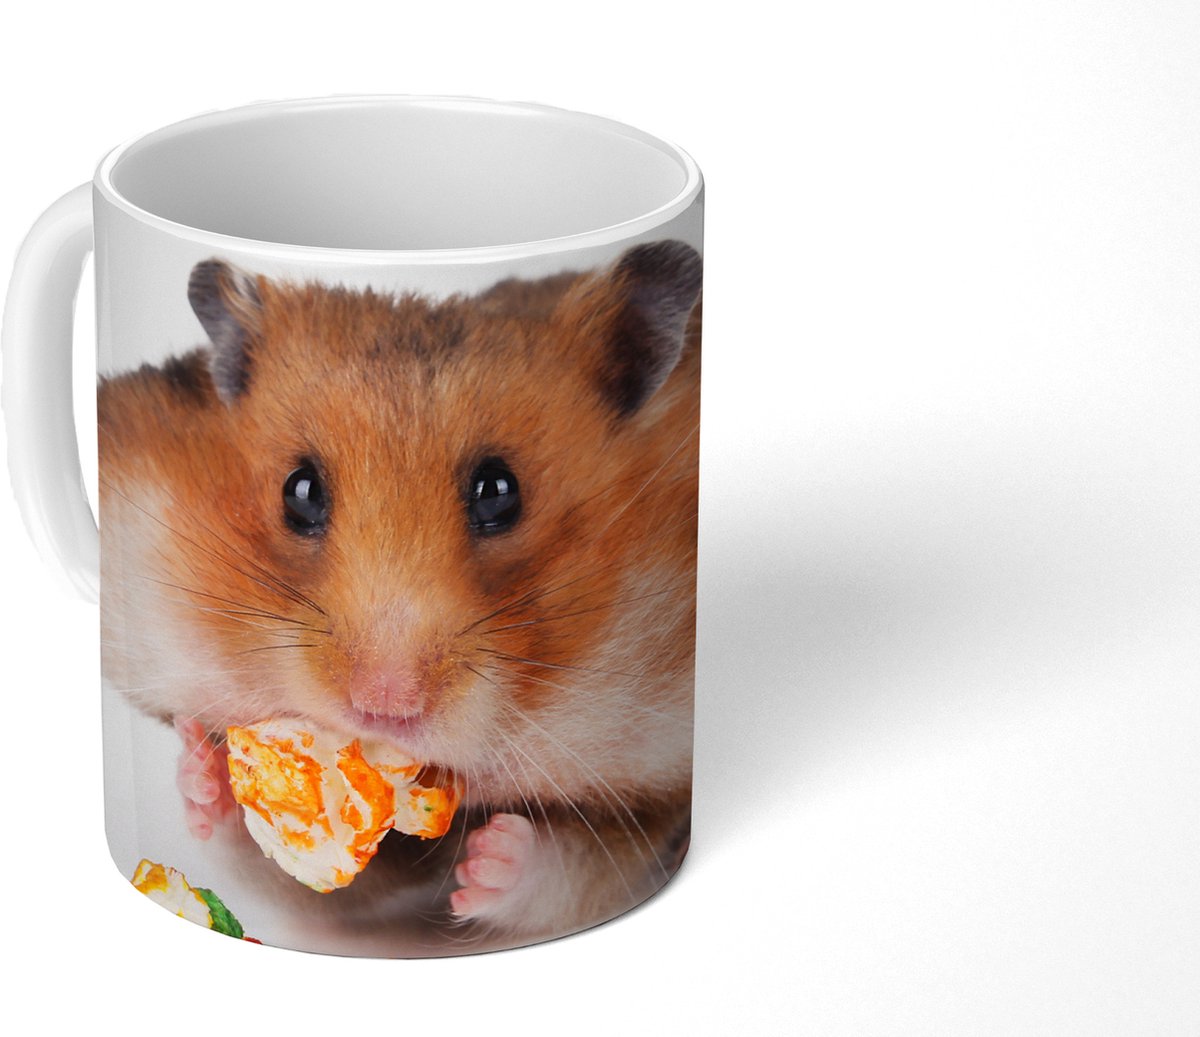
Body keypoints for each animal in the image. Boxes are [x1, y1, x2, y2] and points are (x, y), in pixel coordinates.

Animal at [98, 240, 701, 942]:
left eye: (500, 492)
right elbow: (286, 875)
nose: (384, 706)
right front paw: (203, 767)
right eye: (300, 491)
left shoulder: (652, 813)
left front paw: (485, 859)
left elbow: (569, 872)